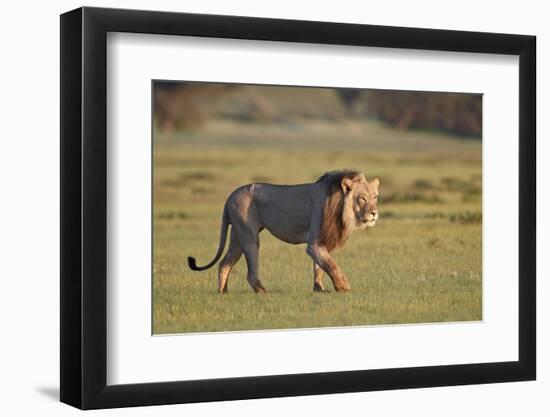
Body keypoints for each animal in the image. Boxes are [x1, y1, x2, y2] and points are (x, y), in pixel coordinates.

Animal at [188, 169, 382, 292]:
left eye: (374, 197)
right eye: (362, 198)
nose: (374, 213)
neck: (341, 207)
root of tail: (229, 197)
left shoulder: (323, 240)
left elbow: (320, 266)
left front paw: (319, 289)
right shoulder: (314, 244)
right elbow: (331, 265)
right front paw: (343, 287)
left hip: (237, 236)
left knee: (224, 264)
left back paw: (223, 293)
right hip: (249, 236)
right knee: (250, 273)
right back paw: (264, 292)